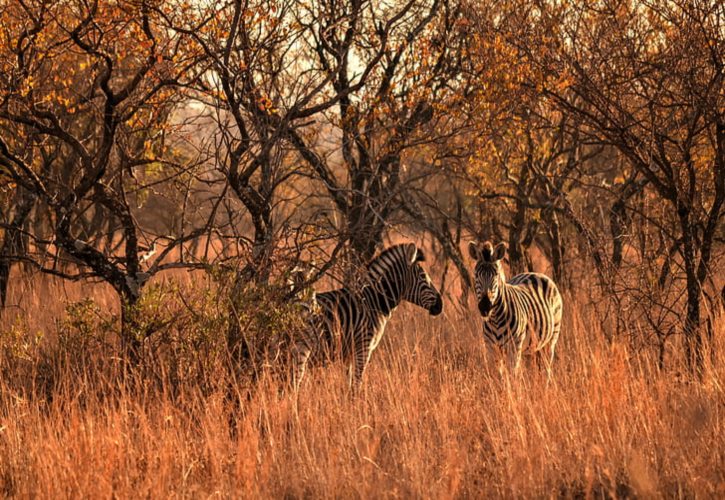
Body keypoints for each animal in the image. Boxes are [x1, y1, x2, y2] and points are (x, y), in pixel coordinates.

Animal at [292, 244, 442, 388]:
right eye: (423, 276)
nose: (441, 305)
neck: (373, 302)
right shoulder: (363, 347)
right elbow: (357, 384)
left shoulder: (349, 354)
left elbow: (349, 384)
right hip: (301, 349)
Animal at [466, 239, 564, 376]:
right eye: (476, 274)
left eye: (496, 275)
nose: (485, 306)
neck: (495, 320)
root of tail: (535, 273)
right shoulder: (491, 348)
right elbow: (498, 377)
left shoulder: (514, 348)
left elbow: (513, 376)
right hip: (531, 346)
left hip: (551, 338)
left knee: (547, 370)